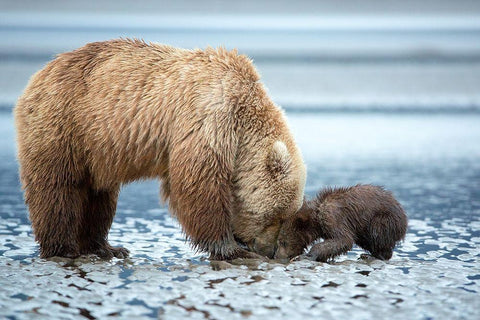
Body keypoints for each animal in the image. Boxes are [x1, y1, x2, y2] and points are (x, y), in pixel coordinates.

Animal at [16, 38, 308, 262]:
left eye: (285, 216)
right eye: (275, 216)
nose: (270, 251)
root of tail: (39, 74)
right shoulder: (208, 119)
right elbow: (199, 185)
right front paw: (232, 248)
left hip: (96, 150)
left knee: (100, 196)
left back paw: (106, 247)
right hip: (64, 125)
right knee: (58, 190)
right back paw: (64, 248)